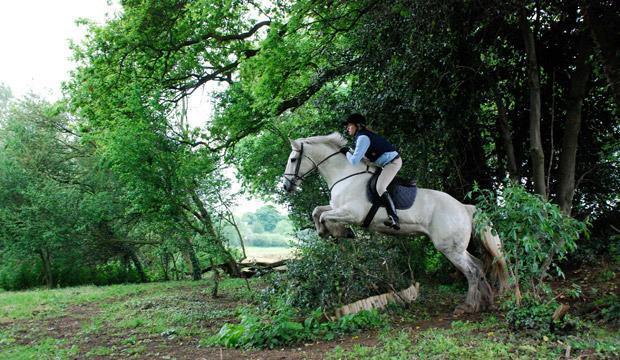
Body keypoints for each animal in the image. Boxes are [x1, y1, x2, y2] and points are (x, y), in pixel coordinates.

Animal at [284, 133, 506, 316]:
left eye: (293, 159)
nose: (286, 186)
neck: (344, 175)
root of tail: (464, 207)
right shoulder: (337, 207)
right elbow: (317, 211)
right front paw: (326, 232)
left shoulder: (352, 213)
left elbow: (324, 216)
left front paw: (339, 232)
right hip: (456, 247)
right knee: (478, 266)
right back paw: (485, 302)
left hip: (449, 248)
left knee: (472, 271)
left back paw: (468, 306)